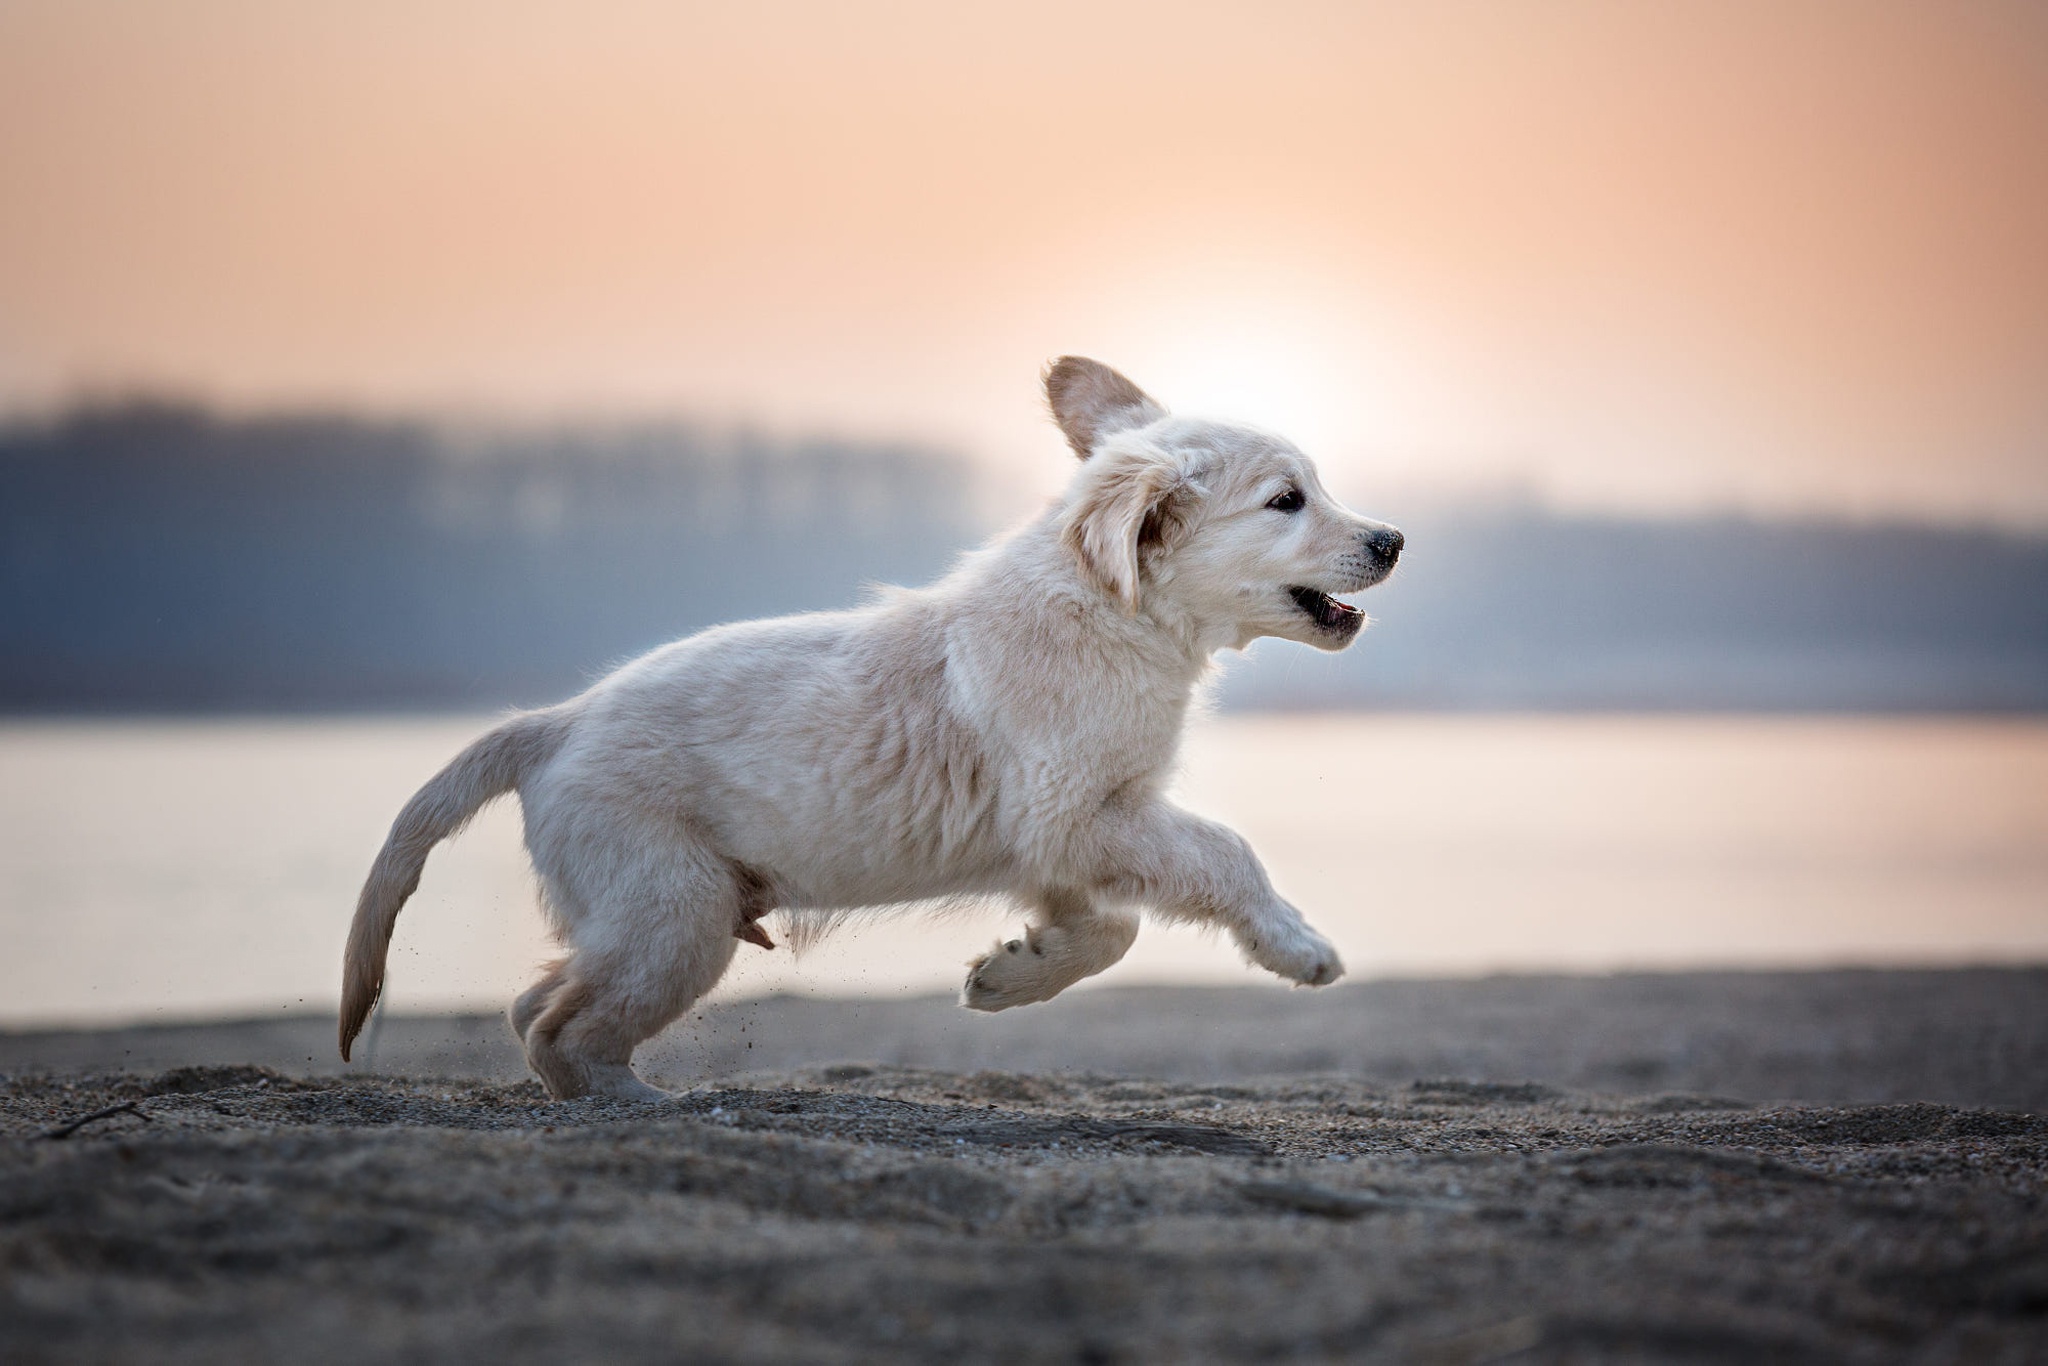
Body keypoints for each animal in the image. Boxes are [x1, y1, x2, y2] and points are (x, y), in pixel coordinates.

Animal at [339, 360, 1392, 1097]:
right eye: (1286, 499)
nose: (1393, 540)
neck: (1117, 608)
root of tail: (555, 723)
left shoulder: (1061, 837)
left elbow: (1113, 927)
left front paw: (1013, 974)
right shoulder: (1076, 811)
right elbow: (1222, 853)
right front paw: (1298, 948)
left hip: (642, 917)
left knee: (535, 1002)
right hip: (672, 914)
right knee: (558, 1025)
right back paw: (639, 1103)